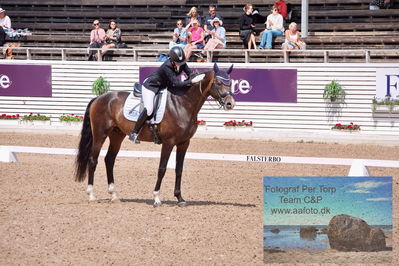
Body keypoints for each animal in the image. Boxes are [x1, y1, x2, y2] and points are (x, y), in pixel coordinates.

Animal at [74, 63, 236, 207]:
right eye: (218, 82)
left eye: (230, 83)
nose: (230, 104)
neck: (183, 104)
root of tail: (99, 98)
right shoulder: (169, 143)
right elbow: (162, 169)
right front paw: (157, 198)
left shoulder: (184, 143)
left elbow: (179, 169)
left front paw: (180, 199)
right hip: (100, 134)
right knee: (93, 160)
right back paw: (91, 195)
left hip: (116, 135)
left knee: (109, 160)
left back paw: (114, 195)